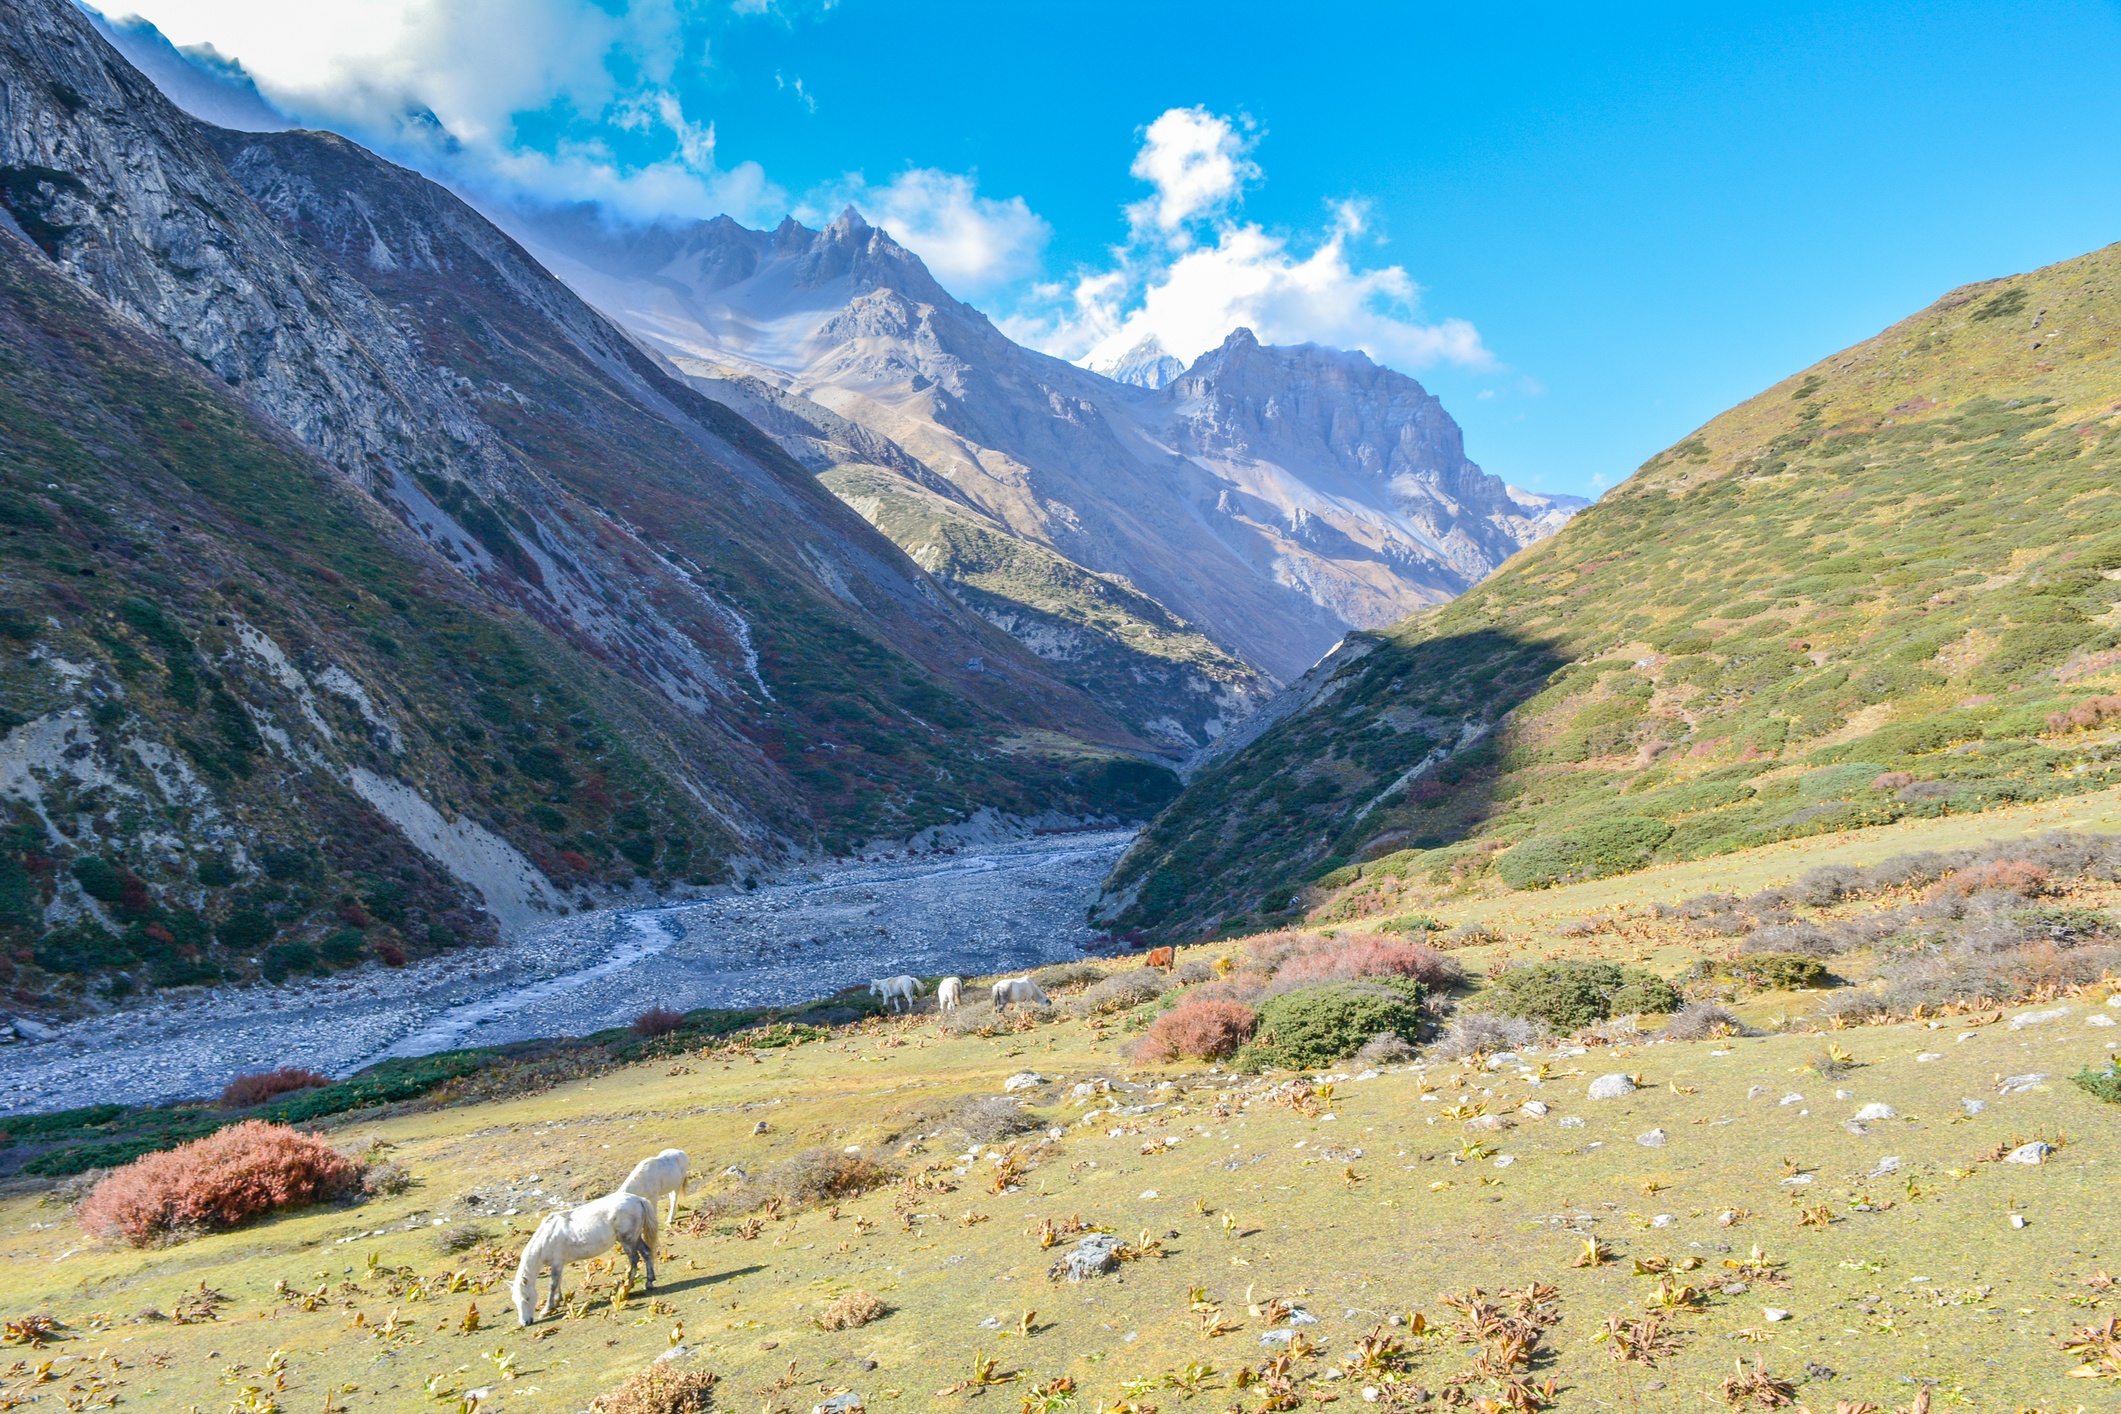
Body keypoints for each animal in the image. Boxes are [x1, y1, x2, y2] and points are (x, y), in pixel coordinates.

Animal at [511, 1191, 658, 1325]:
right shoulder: (558, 1264)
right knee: (646, 1253)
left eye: (527, 1298)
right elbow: (558, 1282)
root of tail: (638, 1199)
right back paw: (649, 1282)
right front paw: (557, 1302)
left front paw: (546, 1309)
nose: (524, 1322)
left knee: (634, 1259)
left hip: (627, 1240)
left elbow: (552, 1285)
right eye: (515, 1301)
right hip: (635, 1238)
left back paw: (628, 1286)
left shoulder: (557, 1263)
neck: (546, 1238)